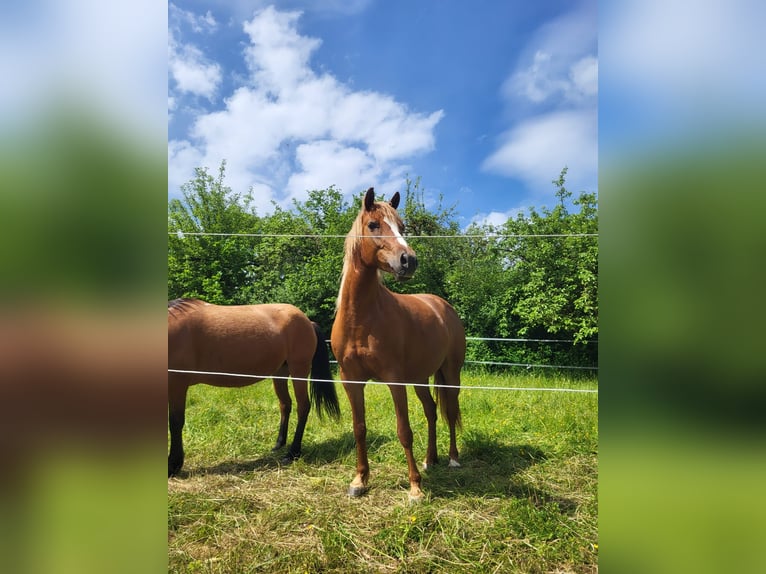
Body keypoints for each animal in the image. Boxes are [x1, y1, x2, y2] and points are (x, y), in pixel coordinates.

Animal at [170, 300, 340, 480]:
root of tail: (308, 321)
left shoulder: (177, 384)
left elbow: (175, 422)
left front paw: (173, 465)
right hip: (280, 373)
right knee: (285, 404)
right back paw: (279, 443)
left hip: (298, 371)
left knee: (303, 407)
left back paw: (293, 452)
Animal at [332, 190, 468, 504]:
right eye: (373, 225)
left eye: (402, 227)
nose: (409, 260)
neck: (362, 319)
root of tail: (443, 306)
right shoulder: (350, 381)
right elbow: (359, 428)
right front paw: (359, 480)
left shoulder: (395, 381)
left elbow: (404, 431)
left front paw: (415, 488)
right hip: (420, 378)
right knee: (431, 411)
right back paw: (431, 459)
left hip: (451, 374)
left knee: (451, 410)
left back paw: (453, 459)